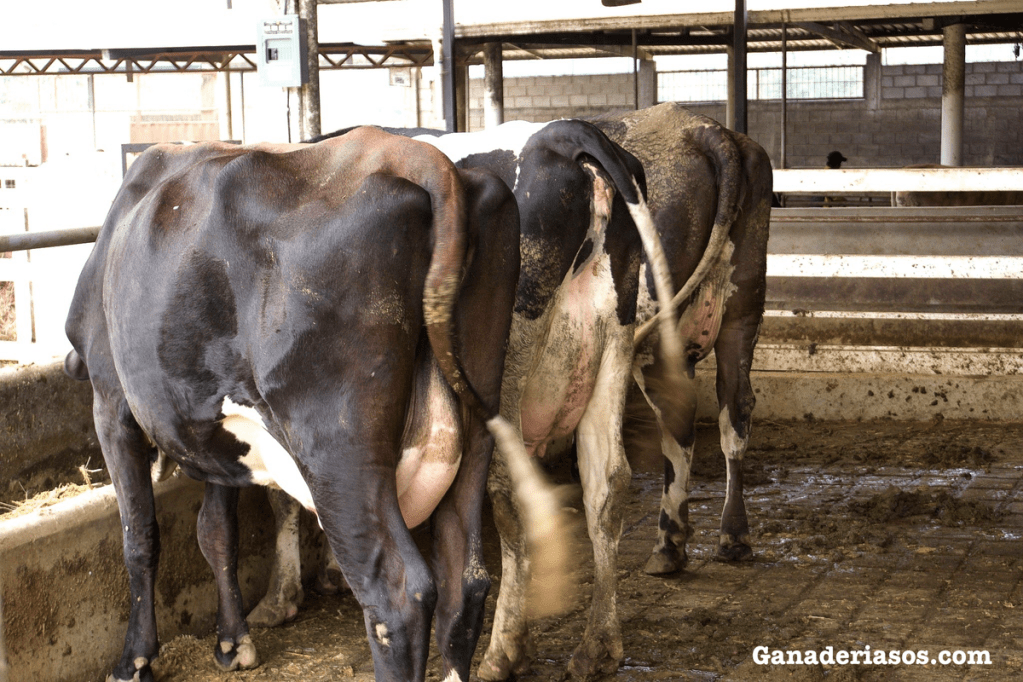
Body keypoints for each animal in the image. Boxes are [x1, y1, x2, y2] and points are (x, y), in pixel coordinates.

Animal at [62, 126, 574, 682]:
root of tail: (417, 157)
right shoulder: (216, 434)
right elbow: (216, 531)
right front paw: (231, 642)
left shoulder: (110, 402)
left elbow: (138, 536)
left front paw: (134, 659)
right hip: (476, 416)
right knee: (467, 577)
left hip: (337, 446)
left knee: (397, 596)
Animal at [588, 103, 773, 579]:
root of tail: (701, 129)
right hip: (743, 308)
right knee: (736, 406)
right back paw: (733, 538)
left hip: (651, 323)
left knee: (677, 413)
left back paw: (668, 546)